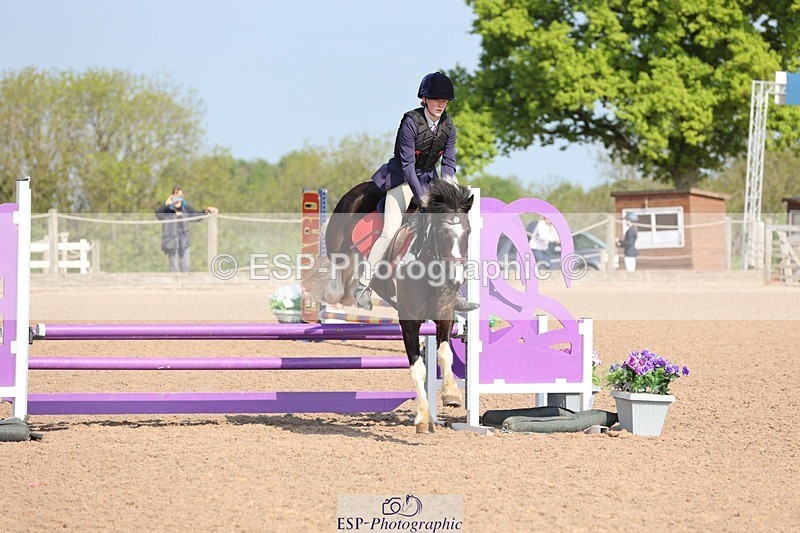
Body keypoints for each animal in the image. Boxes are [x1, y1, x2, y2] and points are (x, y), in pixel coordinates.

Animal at [303, 180, 474, 433]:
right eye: (442, 232)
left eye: (468, 232)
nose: (457, 280)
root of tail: (361, 187)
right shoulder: (409, 321)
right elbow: (418, 368)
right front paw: (423, 418)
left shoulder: (445, 315)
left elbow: (445, 354)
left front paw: (451, 395)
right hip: (337, 242)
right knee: (337, 274)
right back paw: (348, 293)